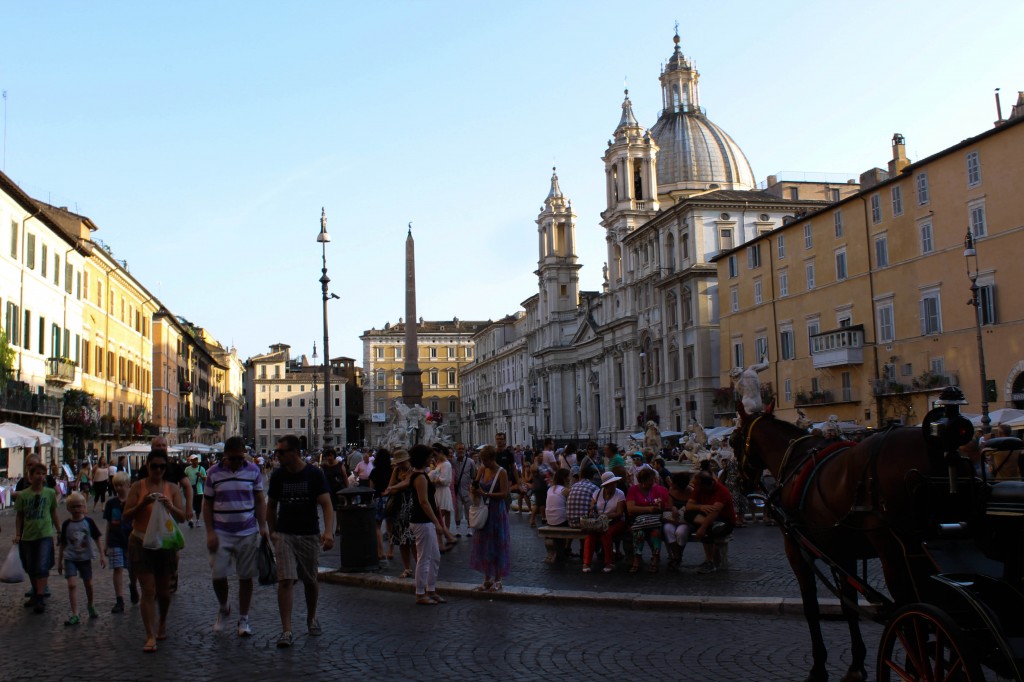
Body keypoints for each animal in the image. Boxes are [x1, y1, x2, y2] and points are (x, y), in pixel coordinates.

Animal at [729, 403, 966, 679]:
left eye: (734, 440)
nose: (741, 482)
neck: (793, 460)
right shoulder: (844, 553)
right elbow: (848, 605)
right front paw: (856, 665)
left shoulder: (795, 549)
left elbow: (811, 606)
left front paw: (819, 667)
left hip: (894, 550)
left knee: (911, 611)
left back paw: (918, 668)